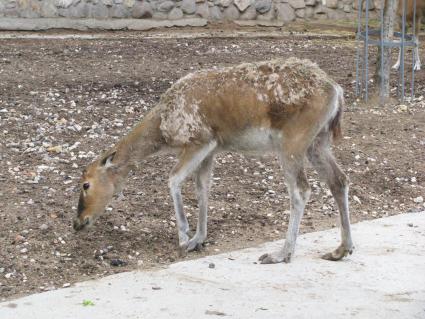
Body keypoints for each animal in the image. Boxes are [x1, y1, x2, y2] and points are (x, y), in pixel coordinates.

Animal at [72, 58, 352, 264]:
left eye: (85, 184)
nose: (77, 222)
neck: (163, 130)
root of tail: (337, 92)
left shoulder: (200, 139)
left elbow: (173, 179)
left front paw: (183, 237)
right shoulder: (212, 149)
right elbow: (202, 187)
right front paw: (198, 238)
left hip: (293, 141)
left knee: (301, 189)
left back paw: (281, 254)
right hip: (318, 141)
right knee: (339, 180)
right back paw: (341, 249)